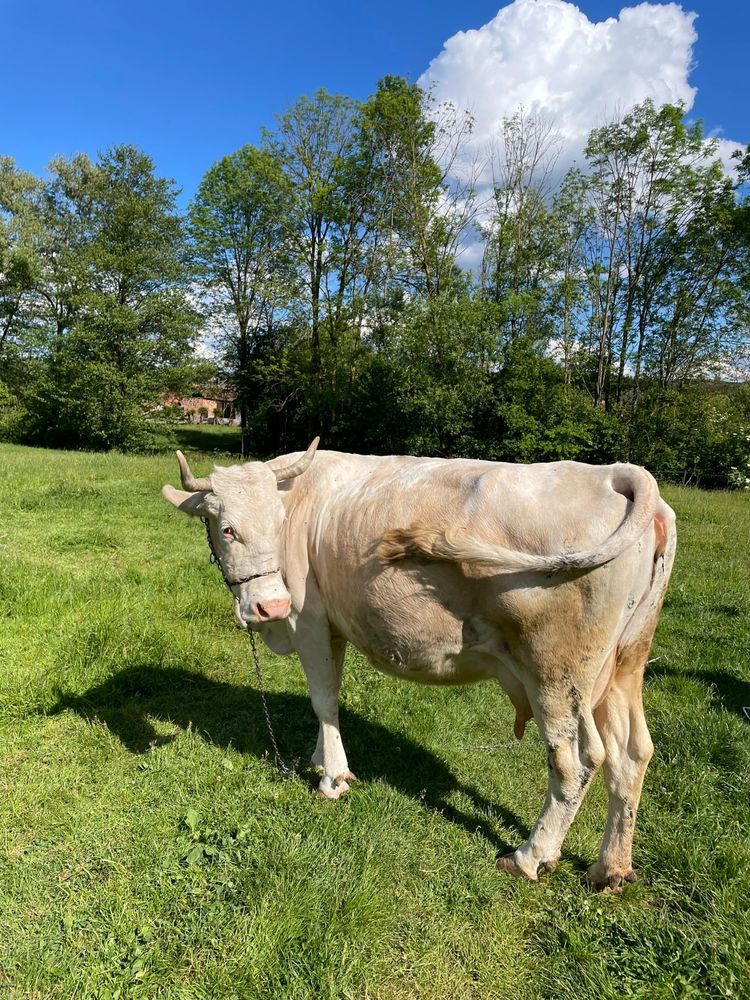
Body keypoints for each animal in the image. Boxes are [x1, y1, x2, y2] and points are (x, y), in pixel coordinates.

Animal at [163, 442, 676, 888]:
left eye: (277, 523)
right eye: (226, 528)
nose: (269, 606)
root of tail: (614, 473)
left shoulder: (307, 619)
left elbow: (323, 699)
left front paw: (333, 778)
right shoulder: (332, 624)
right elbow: (328, 696)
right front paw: (320, 758)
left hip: (555, 671)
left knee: (576, 760)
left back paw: (530, 856)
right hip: (626, 663)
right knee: (633, 752)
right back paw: (609, 869)